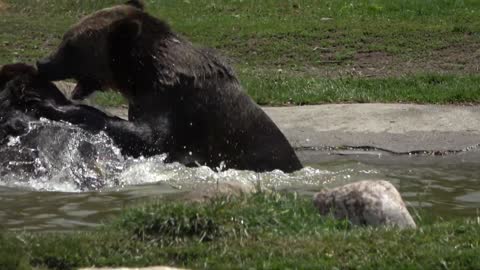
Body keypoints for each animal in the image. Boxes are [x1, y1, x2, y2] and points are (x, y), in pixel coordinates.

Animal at [34, 0, 304, 173]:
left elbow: (151, 139)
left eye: (70, 46)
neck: (141, 76)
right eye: (65, 39)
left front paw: (53, 105)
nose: (42, 63)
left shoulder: (175, 102)